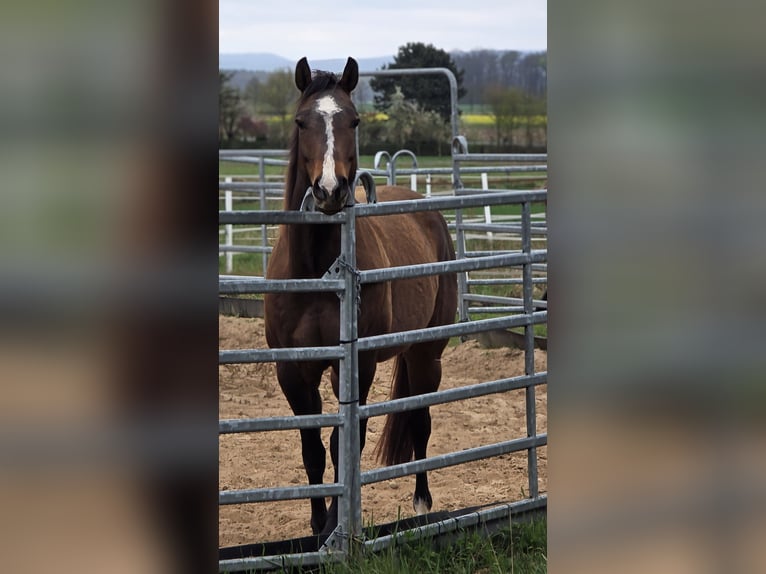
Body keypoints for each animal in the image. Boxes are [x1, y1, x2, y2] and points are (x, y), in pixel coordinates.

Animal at [264, 56, 457, 542]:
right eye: (301, 121)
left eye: (353, 120)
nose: (331, 190)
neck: (318, 268)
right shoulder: (292, 369)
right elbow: (312, 446)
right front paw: (317, 527)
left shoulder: (355, 365)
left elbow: (343, 442)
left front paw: (337, 523)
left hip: (427, 353)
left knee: (420, 421)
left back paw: (422, 503)